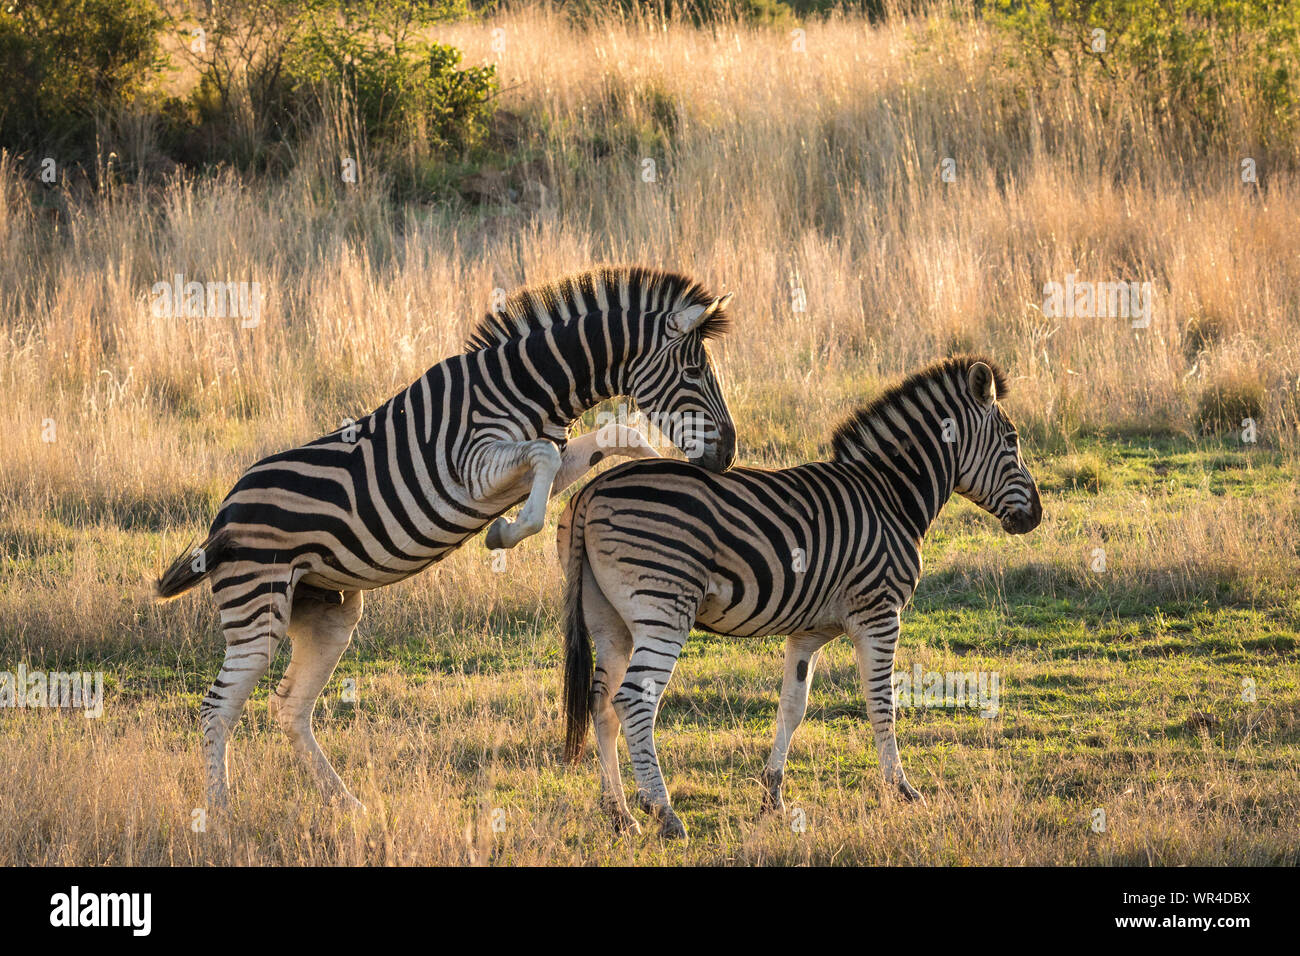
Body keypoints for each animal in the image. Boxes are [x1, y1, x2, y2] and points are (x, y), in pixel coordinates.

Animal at [152, 265, 738, 811]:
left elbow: (618, 434)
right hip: (259, 605)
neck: (529, 386)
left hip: (326, 611)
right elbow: (545, 460)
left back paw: (348, 804)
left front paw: (654, 479)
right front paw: (504, 533)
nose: (728, 454)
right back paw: (221, 815)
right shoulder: (475, 466)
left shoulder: (530, 465)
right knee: (218, 708)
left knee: (290, 706)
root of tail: (222, 516)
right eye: (693, 370)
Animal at [559, 356, 1045, 837]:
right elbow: (881, 704)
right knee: (633, 701)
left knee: (601, 702)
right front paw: (903, 790)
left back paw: (619, 814)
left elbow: (792, 708)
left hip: (609, 620)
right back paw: (663, 813)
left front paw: (772, 795)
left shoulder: (808, 633)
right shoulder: (880, 613)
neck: (889, 495)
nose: (1037, 516)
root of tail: (591, 491)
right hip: (664, 609)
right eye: (1012, 440)